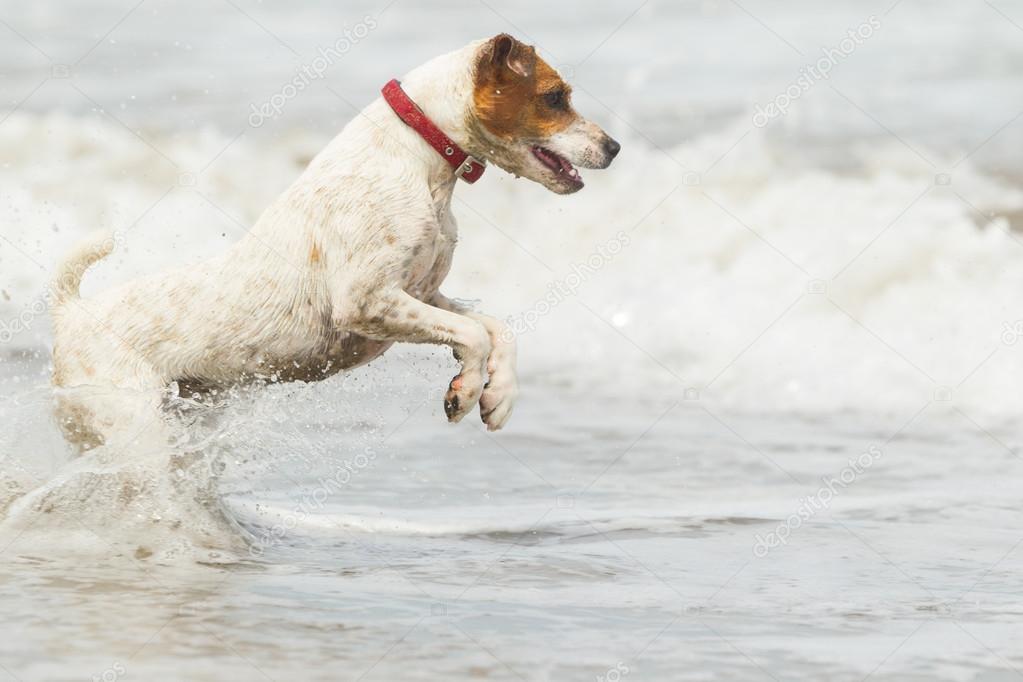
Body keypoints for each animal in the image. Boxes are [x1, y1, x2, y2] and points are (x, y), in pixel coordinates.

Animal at [49, 31, 613, 449]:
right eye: (555, 97)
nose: (615, 147)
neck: (417, 157)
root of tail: (69, 312)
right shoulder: (367, 301)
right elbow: (473, 333)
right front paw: (468, 389)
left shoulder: (423, 293)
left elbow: (497, 328)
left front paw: (501, 396)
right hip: (133, 423)